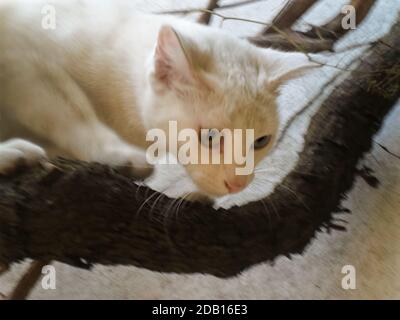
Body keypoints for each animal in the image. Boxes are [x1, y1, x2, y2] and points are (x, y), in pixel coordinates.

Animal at [0, 0, 316, 199]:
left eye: (261, 141)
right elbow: (69, 111)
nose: (238, 183)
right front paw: (119, 155)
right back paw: (14, 154)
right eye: (210, 137)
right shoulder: (21, 59)